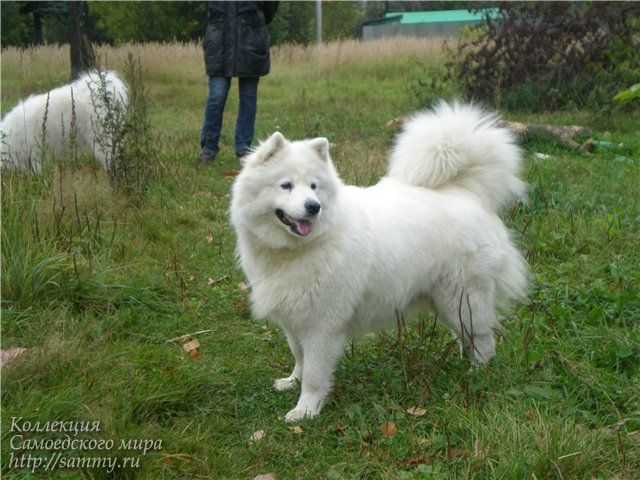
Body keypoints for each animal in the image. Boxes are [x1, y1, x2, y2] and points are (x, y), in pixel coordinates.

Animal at [230, 101, 528, 420]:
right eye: (285, 185)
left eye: (313, 186)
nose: (313, 207)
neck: (298, 250)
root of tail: (466, 194)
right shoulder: (294, 317)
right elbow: (299, 356)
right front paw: (291, 381)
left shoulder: (322, 324)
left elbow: (314, 373)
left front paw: (306, 410)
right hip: (447, 302)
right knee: (467, 336)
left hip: (464, 296)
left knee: (483, 339)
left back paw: (477, 373)